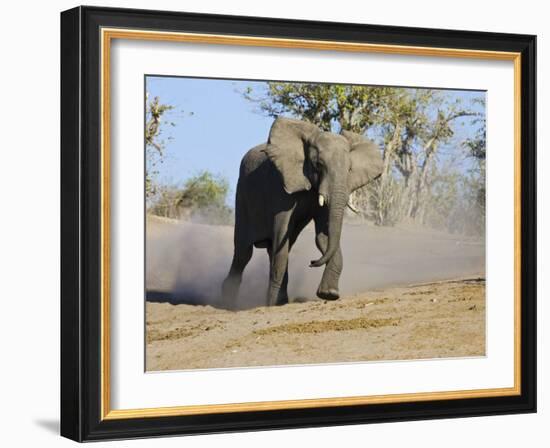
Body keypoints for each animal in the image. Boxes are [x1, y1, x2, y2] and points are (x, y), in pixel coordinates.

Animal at [221, 117, 384, 306]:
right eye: (319, 165)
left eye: (350, 169)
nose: (312, 262)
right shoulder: (281, 186)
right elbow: (281, 236)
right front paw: (271, 305)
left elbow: (323, 237)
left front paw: (329, 294)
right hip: (242, 199)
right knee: (243, 253)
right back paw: (228, 303)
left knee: (276, 248)